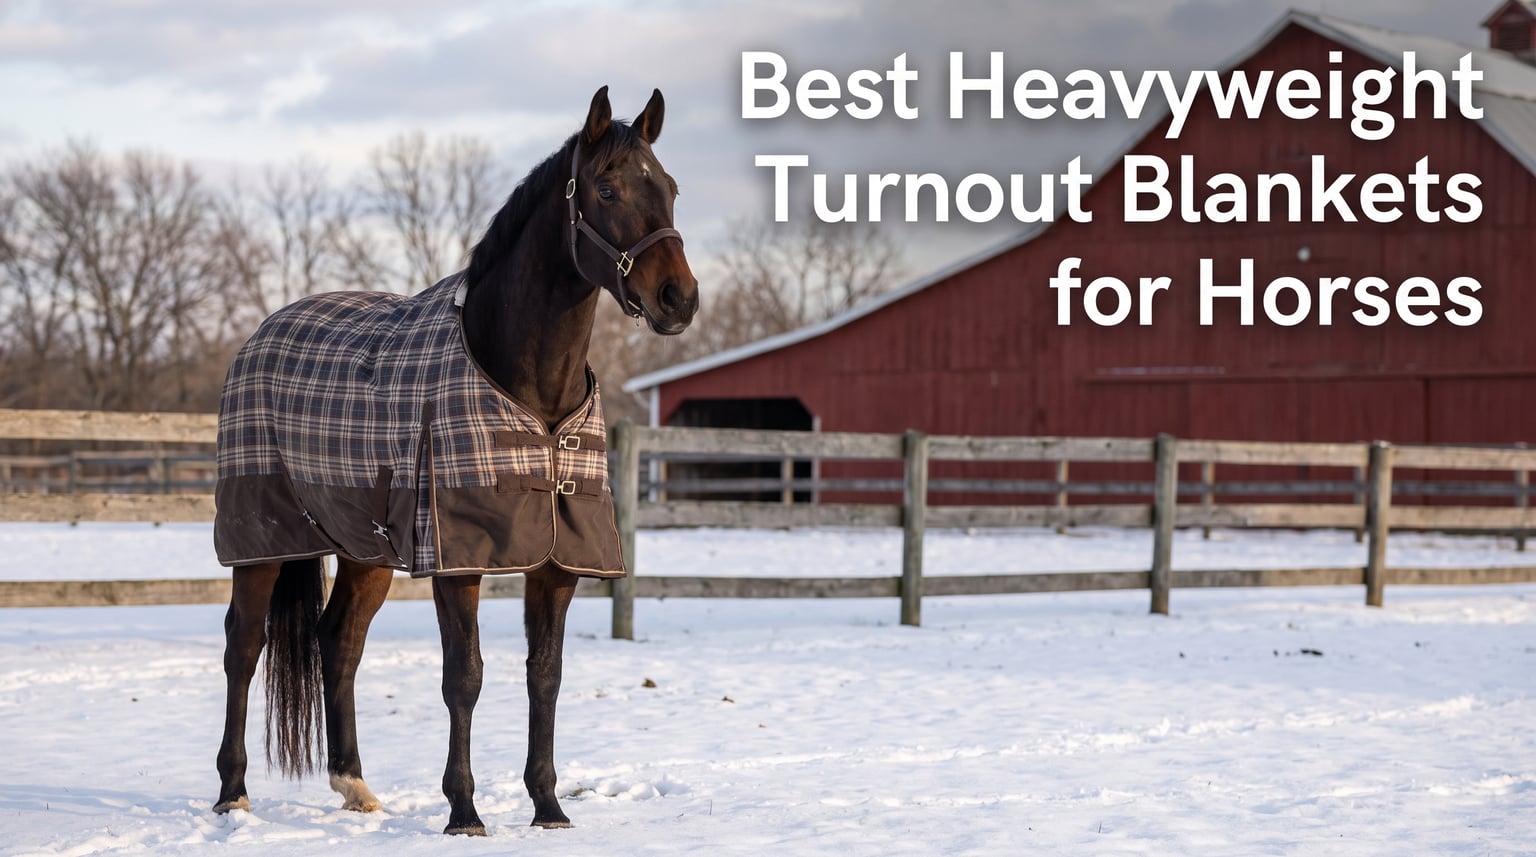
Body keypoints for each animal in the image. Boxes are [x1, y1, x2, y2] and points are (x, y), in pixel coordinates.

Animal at [210, 86, 698, 836]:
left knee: (337, 641)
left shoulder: (558, 562)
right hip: (261, 538)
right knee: (244, 646)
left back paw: (354, 785)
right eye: (607, 188)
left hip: (365, 547)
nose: (680, 298)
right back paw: (232, 793)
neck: (532, 396)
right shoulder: (458, 558)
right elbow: (463, 676)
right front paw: (464, 810)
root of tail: (261, 333)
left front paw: (548, 806)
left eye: (669, 187)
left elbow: (544, 674)